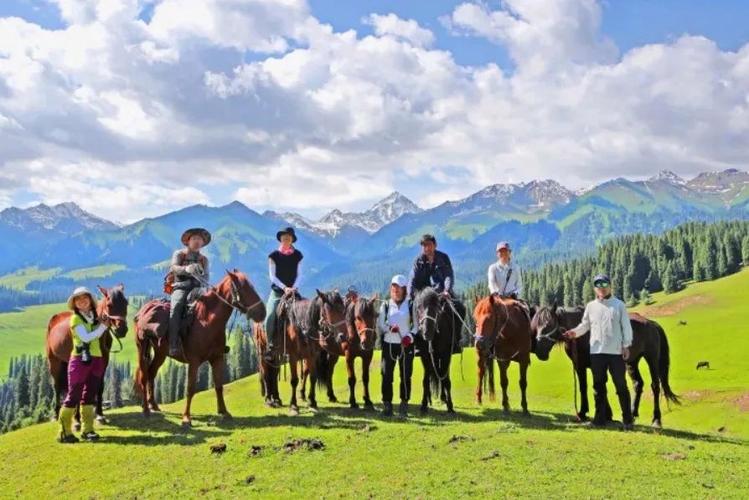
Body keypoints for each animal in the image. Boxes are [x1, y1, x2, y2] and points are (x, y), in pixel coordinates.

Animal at [45, 286, 128, 426]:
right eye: (109, 305)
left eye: (126, 303)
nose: (121, 330)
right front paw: (77, 420)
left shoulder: (103, 362)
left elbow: (99, 387)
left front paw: (99, 414)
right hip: (54, 363)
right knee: (56, 386)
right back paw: (56, 414)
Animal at [133, 270, 264, 426]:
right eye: (244, 288)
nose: (262, 312)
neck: (206, 321)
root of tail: (142, 311)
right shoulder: (194, 361)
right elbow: (190, 388)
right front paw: (186, 418)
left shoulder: (217, 358)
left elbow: (219, 385)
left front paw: (224, 412)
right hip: (141, 347)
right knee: (144, 375)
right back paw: (146, 410)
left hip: (160, 353)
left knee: (151, 373)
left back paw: (153, 405)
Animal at [410, 288, 462, 416]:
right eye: (418, 307)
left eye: (436, 307)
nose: (427, 332)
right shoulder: (425, 356)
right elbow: (425, 381)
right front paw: (423, 405)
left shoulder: (446, 356)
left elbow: (446, 381)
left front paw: (450, 406)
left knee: (443, 375)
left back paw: (443, 398)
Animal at [528, 306, 680, 428]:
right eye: (536, 325)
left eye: (549, 324)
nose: (539, 350)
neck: (584, 335)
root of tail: (651, 323)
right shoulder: (580, 365)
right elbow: (589, 387)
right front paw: (595, 414)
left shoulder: (594, 364)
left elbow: (598, 388)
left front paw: (596, 414)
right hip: (632, 362)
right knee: (638, 384)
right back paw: (632, 414)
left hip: (652, 359)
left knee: (655, 386)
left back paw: (656, 419)